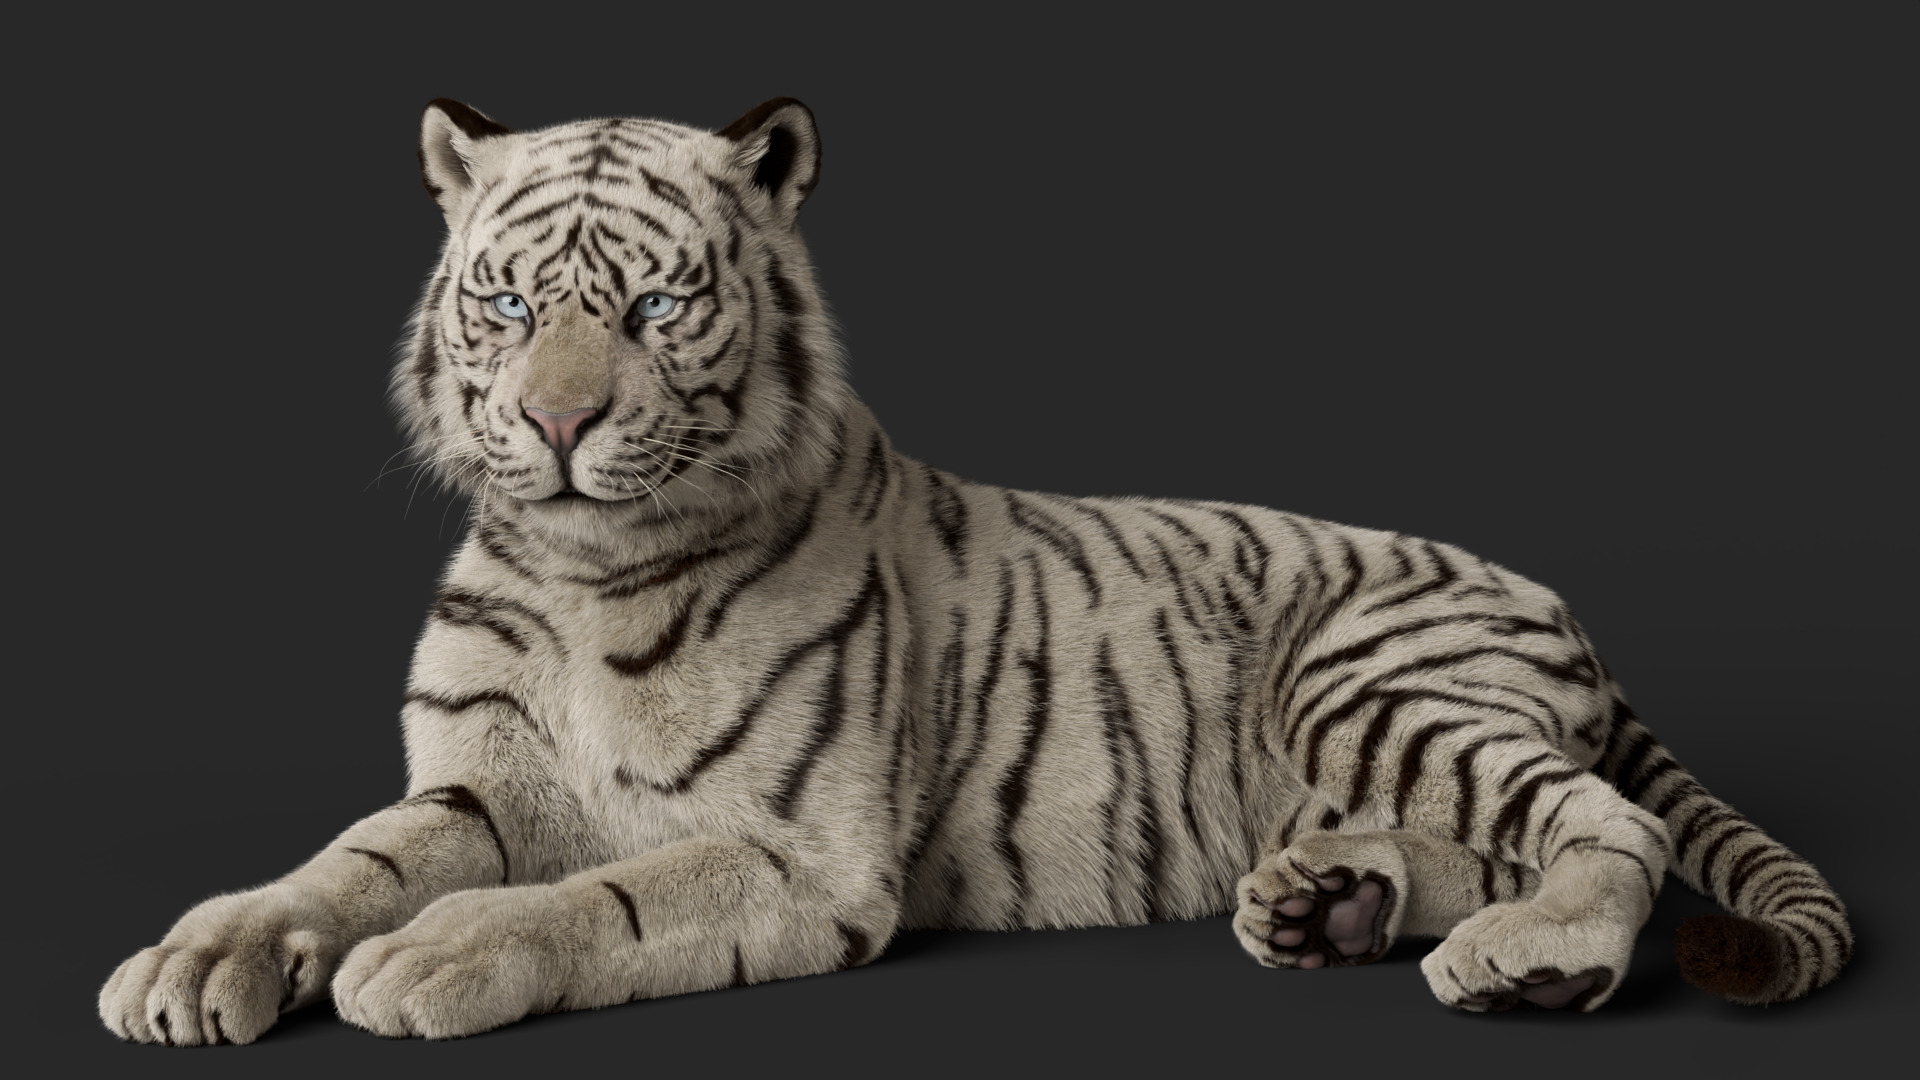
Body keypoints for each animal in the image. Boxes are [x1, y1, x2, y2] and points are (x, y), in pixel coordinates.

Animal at [98, 97, 1851, 1044]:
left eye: (655, 308)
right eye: (513, 306)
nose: (558, 423)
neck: (587, 574)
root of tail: (1562, 606)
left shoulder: (804, 851)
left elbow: (600, 893)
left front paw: (428, 960)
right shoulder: (476, 784)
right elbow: (341, 861)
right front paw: (199, 958)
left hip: (1367, 682)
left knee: (1606, 826)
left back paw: (1532, 963)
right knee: (1498, 836)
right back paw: (1326, 903)